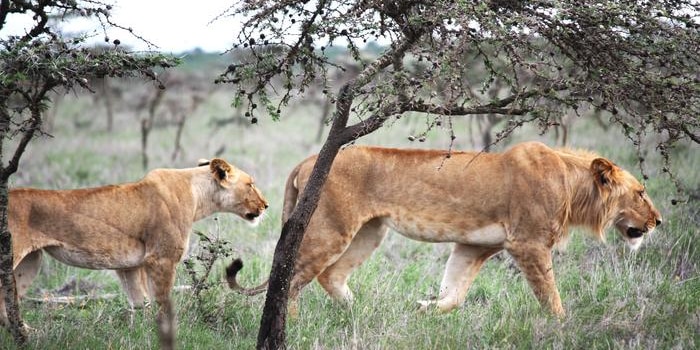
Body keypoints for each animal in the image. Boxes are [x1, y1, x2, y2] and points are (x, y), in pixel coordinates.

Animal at [2, 159, 268, 350]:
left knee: (6, 308)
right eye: (250, 184)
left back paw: (30, 335)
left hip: (30, 262)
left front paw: (142, 336)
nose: (266, 205)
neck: (198, 196)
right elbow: (163, 305)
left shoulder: (130, 266)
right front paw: (168, 338)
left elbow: (141, 305)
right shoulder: (161, 259)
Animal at [230, 140, 660, 318]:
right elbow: (550, 296)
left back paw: (361, 310)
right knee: (290, 278)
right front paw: (562, 326)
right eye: (640, 193)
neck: (573, 187)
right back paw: (291, 325)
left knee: (330, 276)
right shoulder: (528, 244)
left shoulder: (474, 247)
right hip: (331, 228)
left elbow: (455, 292)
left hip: (370, 231)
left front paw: (425, 308)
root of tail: (308, 160)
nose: (659, 221)